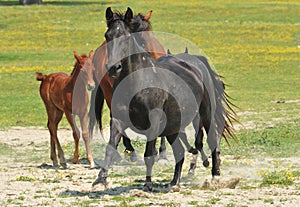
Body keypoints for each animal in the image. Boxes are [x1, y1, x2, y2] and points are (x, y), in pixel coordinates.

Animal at [92, 7, 236, 192]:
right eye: (107, 36)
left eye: (127, 37)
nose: (113, 68)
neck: (138, 82)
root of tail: (197, 64)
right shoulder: (117, 120)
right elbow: (110, 148)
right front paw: (100, 179)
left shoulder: (153, 123)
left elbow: (149, 154)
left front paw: (147, 184)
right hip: (173, 125)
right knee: (180, 151)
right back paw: (174, 183)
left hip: (205, 114)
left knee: (211, 140)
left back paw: (215, 176)